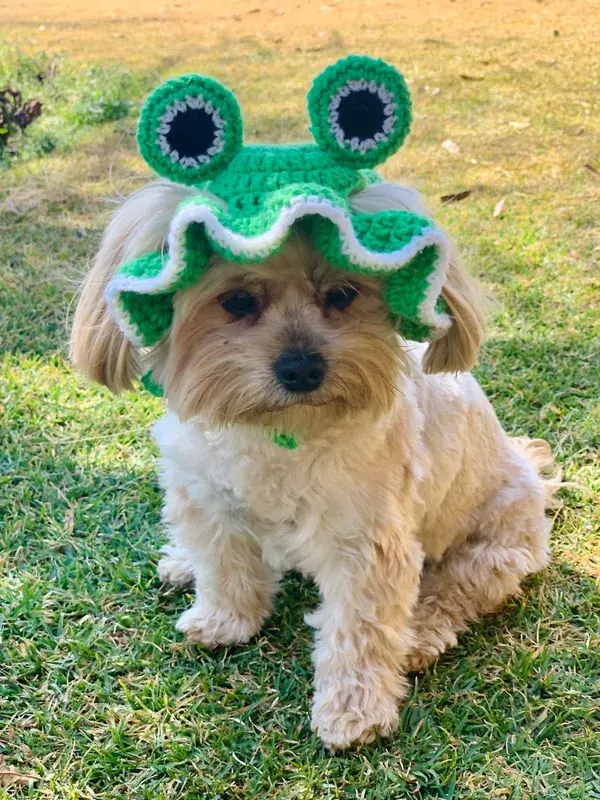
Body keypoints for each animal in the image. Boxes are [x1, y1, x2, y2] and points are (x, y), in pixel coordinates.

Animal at [68, 175, 556, 752]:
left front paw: (353, 710)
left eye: (341, 294)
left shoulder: (365, 544)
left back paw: (418, 634)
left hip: (493, 546)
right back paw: (182, 563)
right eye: (237, 300)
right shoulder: (205, 498)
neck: (279, 433)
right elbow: (224, 564)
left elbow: (358, 629)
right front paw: (224, 619)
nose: (301, 368)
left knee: (454, 591)